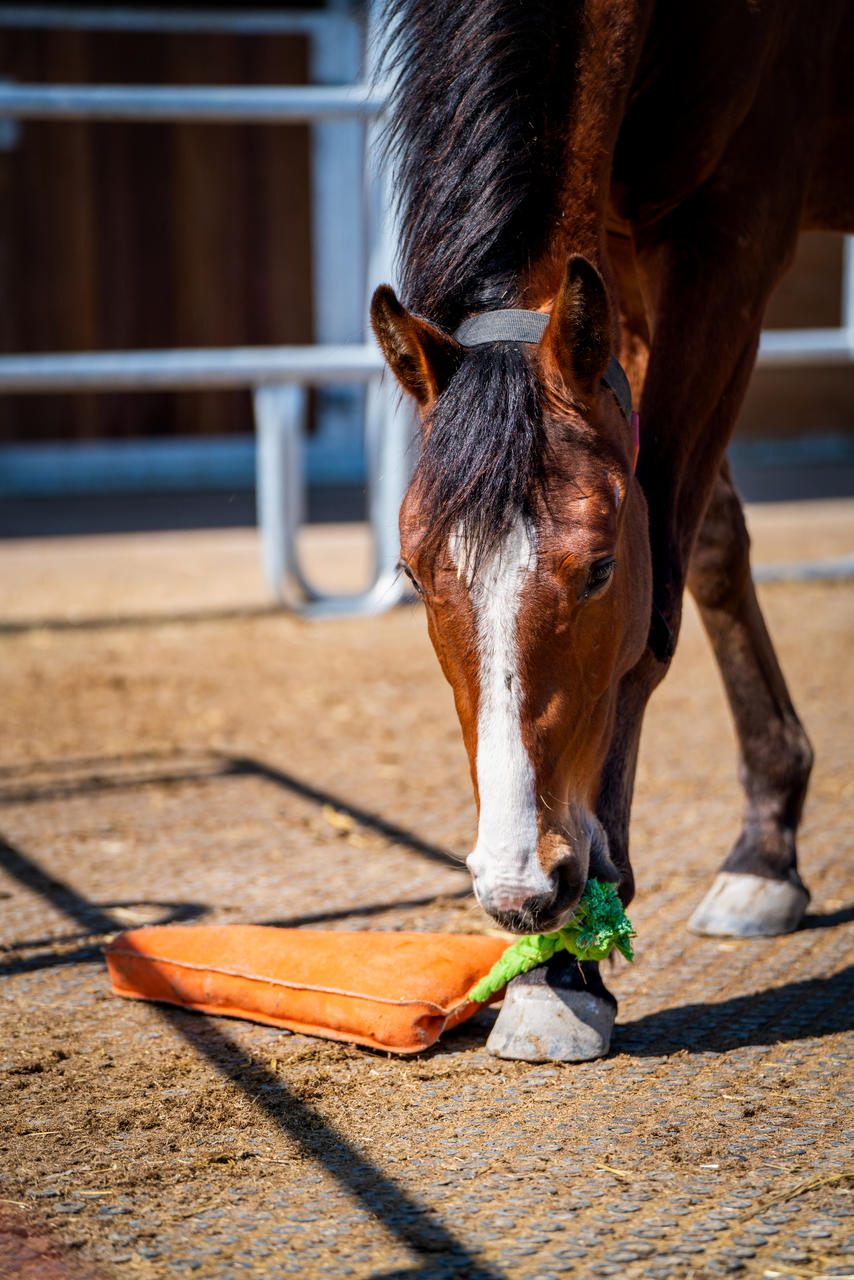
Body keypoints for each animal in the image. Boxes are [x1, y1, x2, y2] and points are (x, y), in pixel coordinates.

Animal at [368, 0, 854, 1059]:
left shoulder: (731, 241)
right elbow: (702, 543)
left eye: (594, 571)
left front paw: (567, 964)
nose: (519, 888)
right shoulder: (622, 258)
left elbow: (658, 587)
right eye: (415, 575)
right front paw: (768, 844)